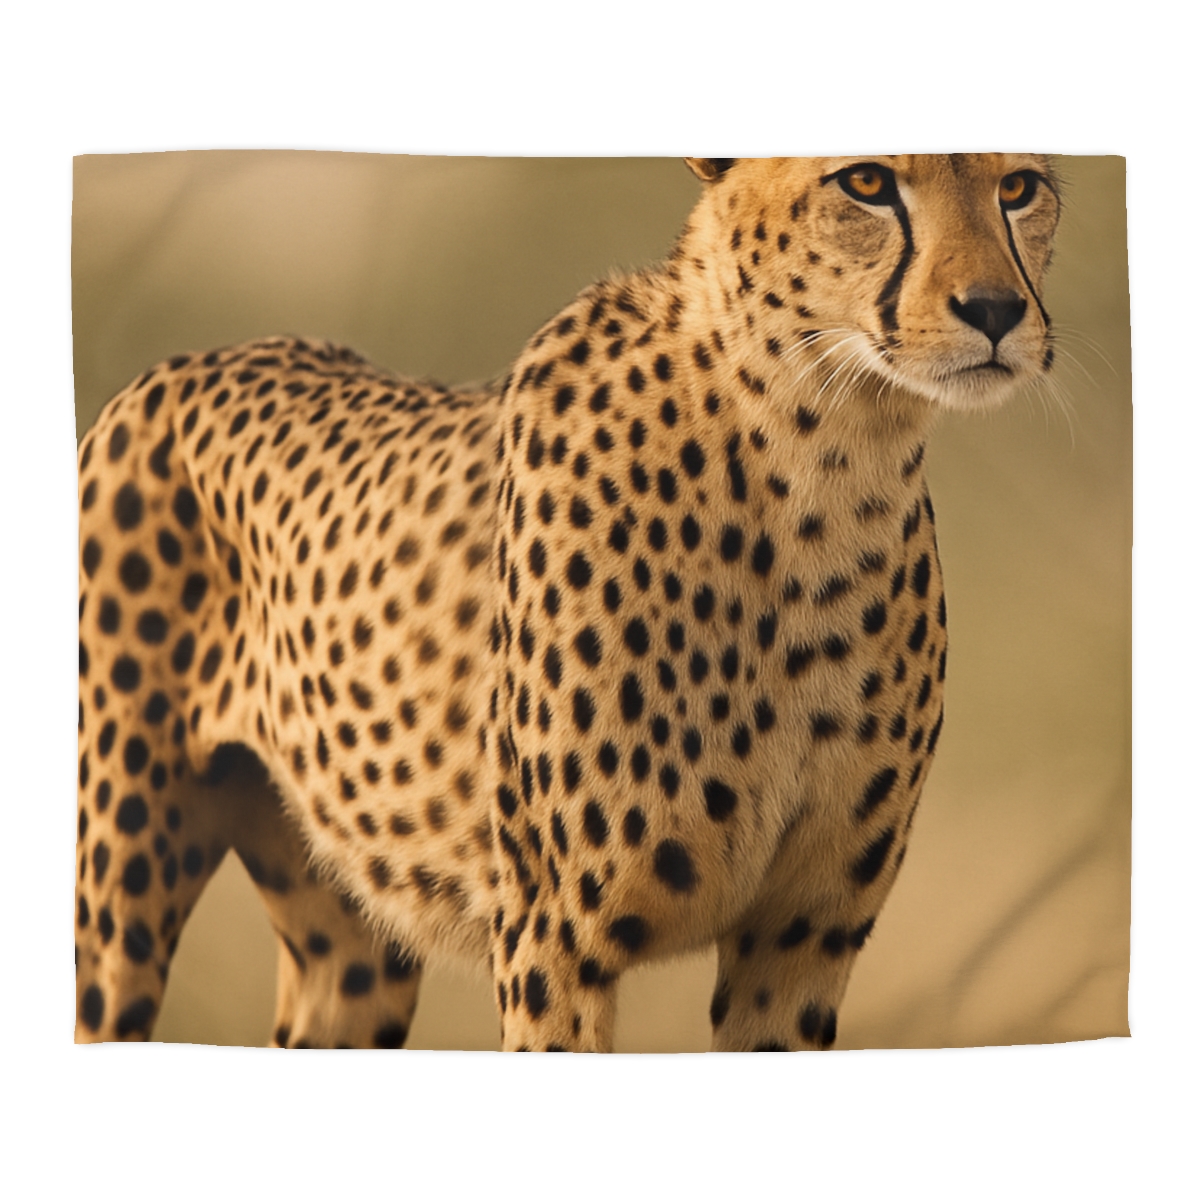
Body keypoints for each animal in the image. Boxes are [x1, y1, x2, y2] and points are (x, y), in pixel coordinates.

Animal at [75, 155, 1060, 1051]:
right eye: (866, 183)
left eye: (1019, 186)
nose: (996, 312)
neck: (823, 462)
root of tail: (181, 364)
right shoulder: (555, 938)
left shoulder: (800, 940)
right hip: (117, 900)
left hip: (351, 938)